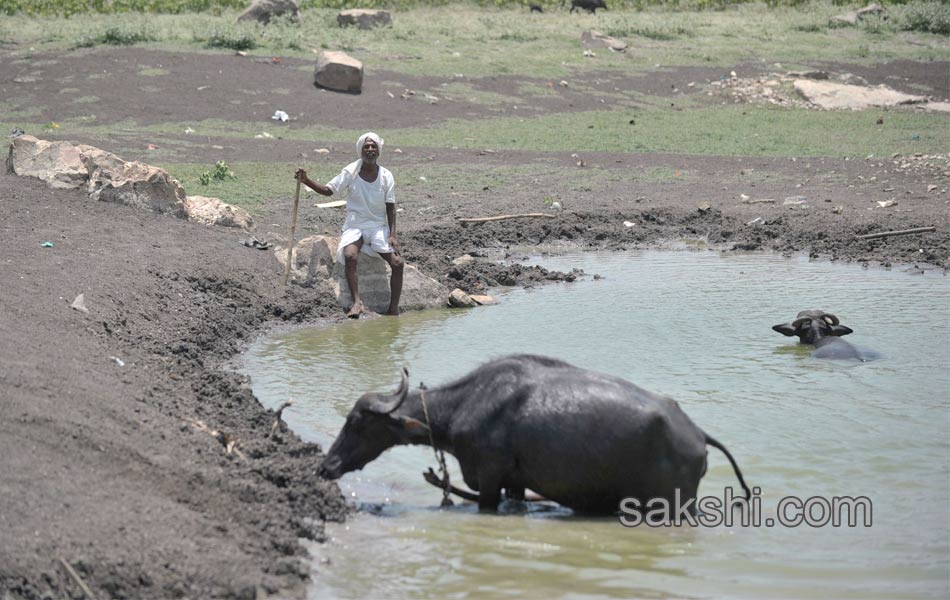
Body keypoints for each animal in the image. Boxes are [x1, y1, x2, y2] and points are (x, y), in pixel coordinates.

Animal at [320, 354, 752, 512]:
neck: (465, 405)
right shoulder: (514, 482)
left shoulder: (490, 480)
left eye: (356, 421)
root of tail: (697, 435)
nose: (326, 466)